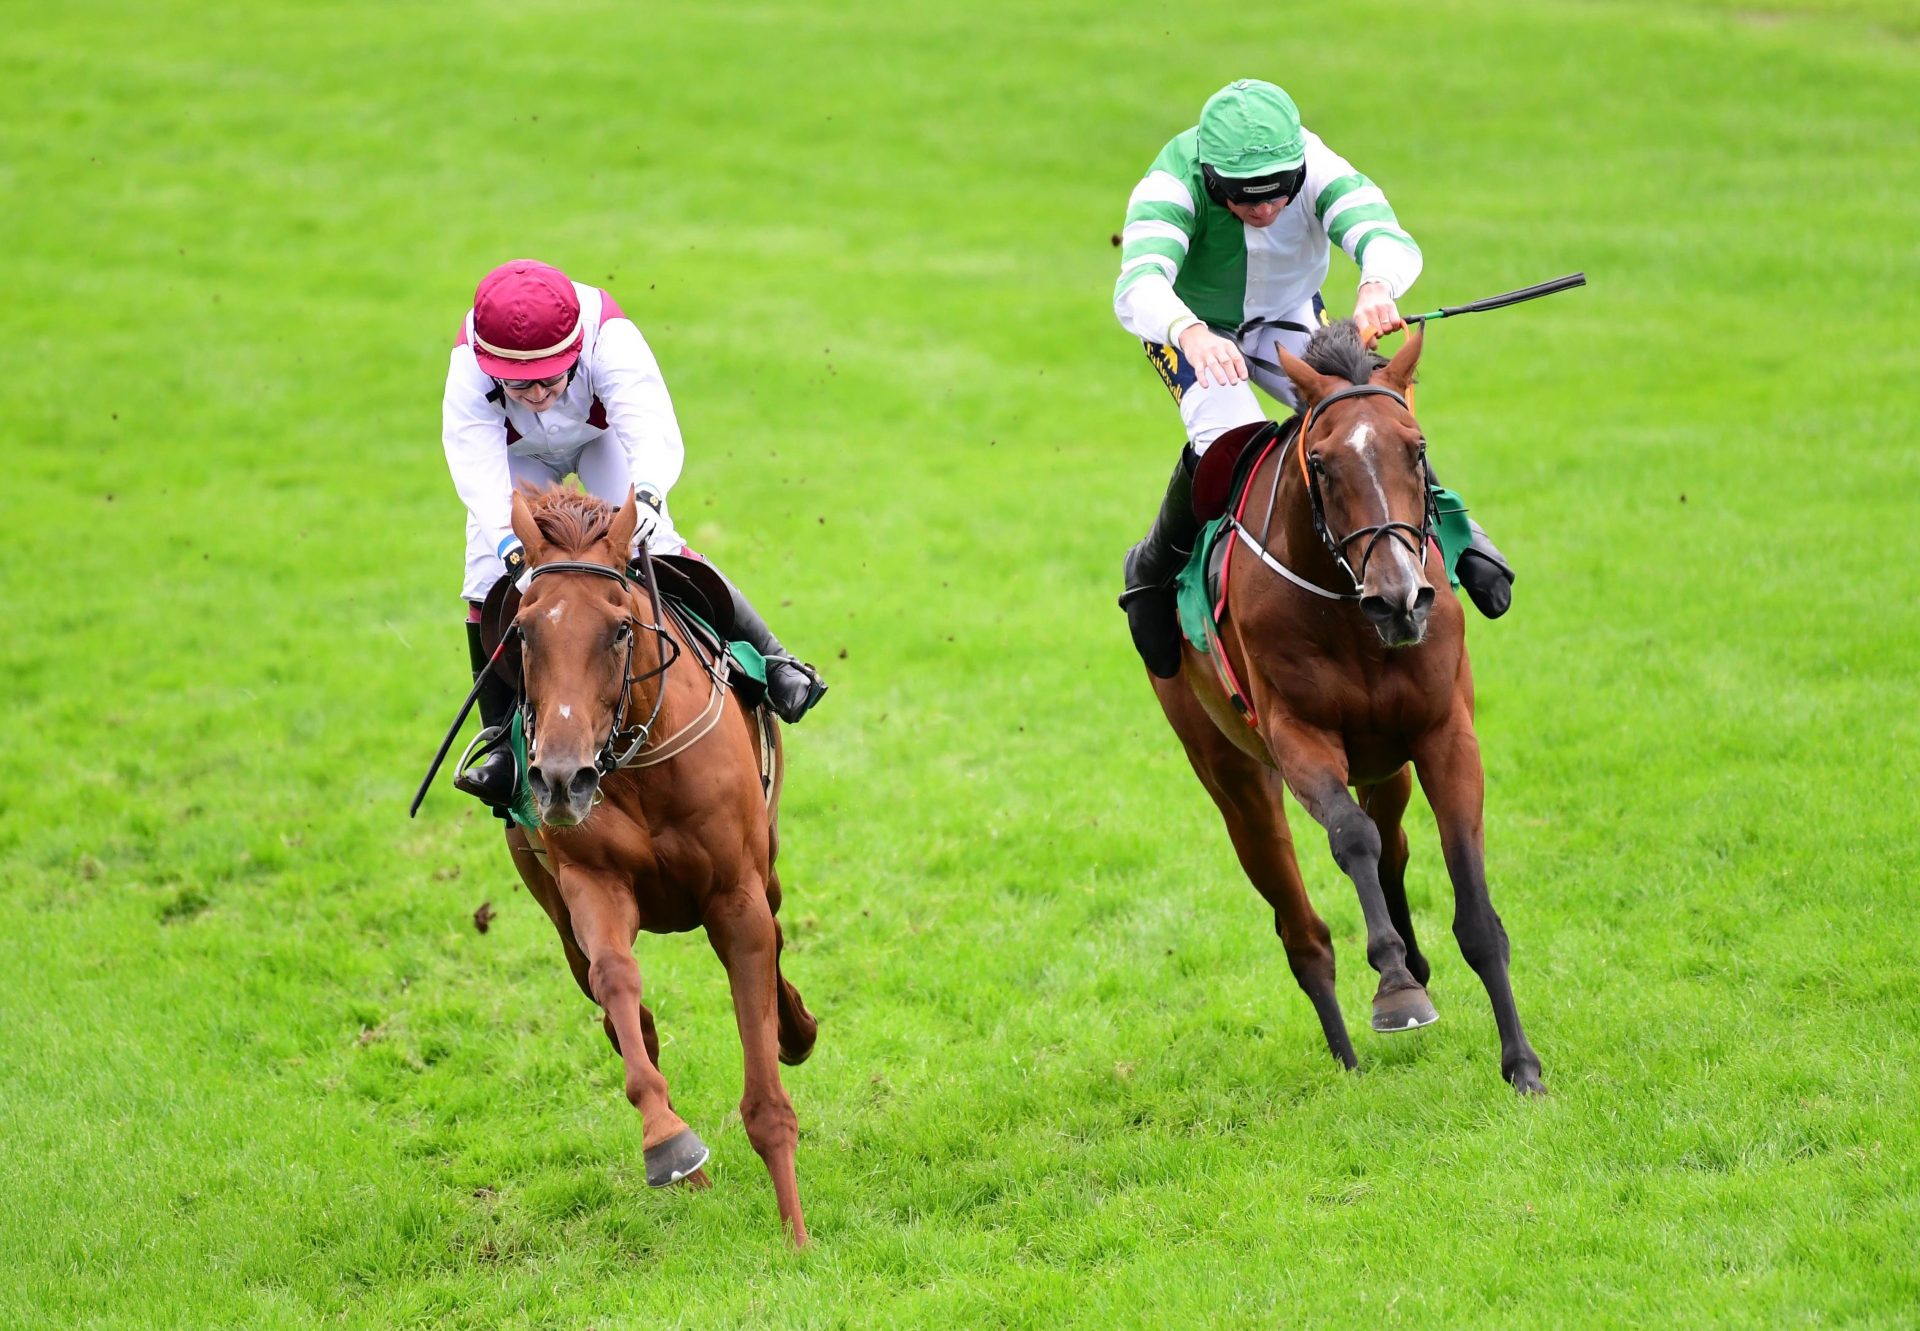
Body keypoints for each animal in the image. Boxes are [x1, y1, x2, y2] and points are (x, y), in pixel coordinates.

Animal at [495, 482, 817, 1244]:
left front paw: (796, 1236)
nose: (559, 778)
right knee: (621, 1015)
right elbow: (617, 979)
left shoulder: (736, 895)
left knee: (777, 936)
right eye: (523, 631)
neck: (638, 758)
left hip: (765, 863)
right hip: (556, 911)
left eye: (618, 629)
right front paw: (668, 1141)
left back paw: (795, 1027)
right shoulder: (590, 885)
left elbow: (764, 1077)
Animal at [1152, 318, 1543, 1090]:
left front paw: (1523, 1067)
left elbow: (1474, 909)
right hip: (1234, 780)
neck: (1349, 611)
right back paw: (1350, 1061)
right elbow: (1350, 836)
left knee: (1393, 846)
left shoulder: (1445, 733)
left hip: (1386, 764)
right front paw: (1395, 989)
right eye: (1324, 464)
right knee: (1304, 931)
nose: (1401, 598)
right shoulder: (1299, 738)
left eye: (1416, 449)